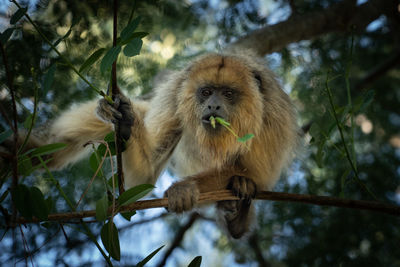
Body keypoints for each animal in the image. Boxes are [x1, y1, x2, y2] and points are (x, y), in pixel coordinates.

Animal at [2, 50, 296, 239]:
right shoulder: (174, 100)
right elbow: (144, 175)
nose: (213, 106)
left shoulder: (273, 116)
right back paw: (28, 151)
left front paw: (185, 189)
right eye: (205, 92)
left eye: (228, 93)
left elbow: (259, 172)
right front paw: (125, 123)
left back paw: (237, 214)